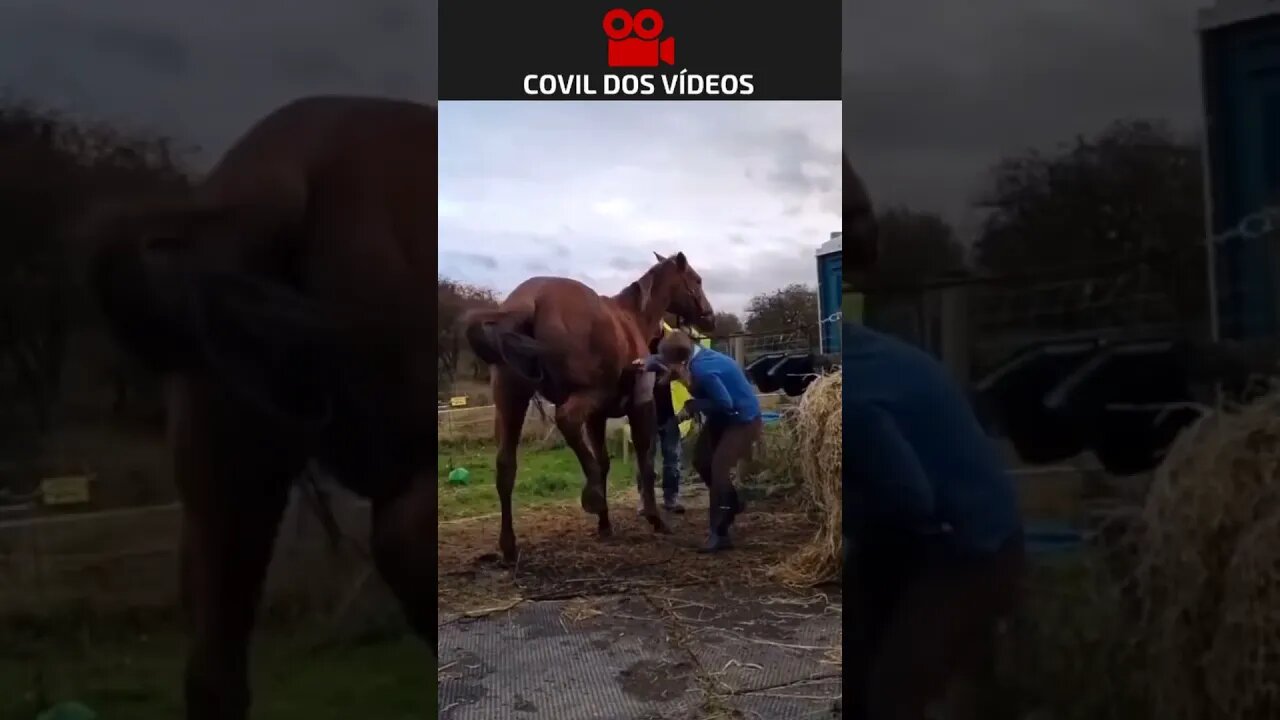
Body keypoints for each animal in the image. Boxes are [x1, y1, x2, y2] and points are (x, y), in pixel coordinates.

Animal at [465, 254, 716, 563]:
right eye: (696, 280)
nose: (709, 316)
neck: (632, 317)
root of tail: (529, 300)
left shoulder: (597, 417)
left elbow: (606, 463)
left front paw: (605, 524)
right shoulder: (640, 407)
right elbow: (644, 464)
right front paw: (654, 518)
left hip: (512, 400)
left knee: (505, 467)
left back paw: (510, 546)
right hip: (585, 395)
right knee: (566, 421)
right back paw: (592, 493)